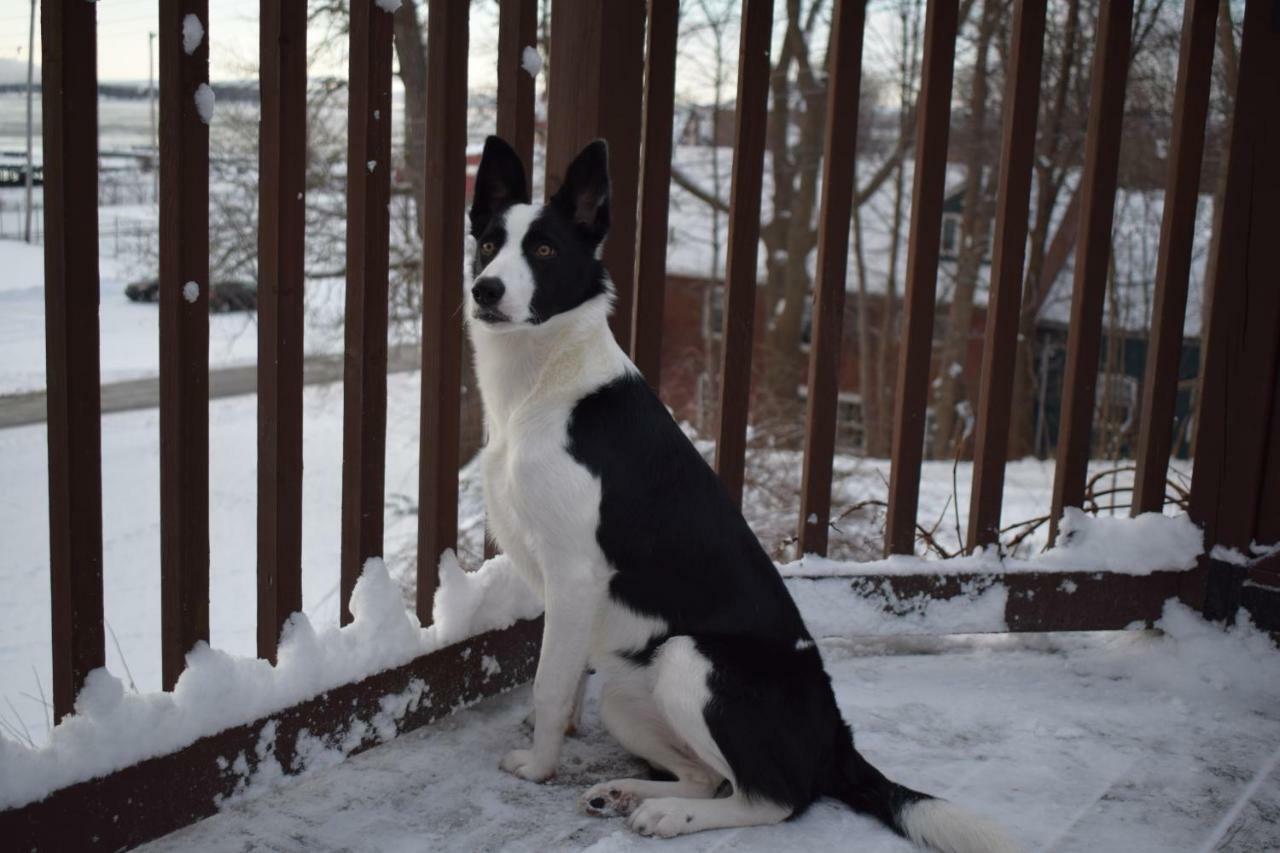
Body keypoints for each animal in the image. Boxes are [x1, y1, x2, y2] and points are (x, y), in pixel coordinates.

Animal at [465, 137, 1013, 850]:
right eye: (487, 244)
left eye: (547, 250)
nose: (485, 289)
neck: (544, 386)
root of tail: (836, 738)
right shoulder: (571, 599)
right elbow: (564, 680)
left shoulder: (575, 574)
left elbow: (549, 687)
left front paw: (538, 767)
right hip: (629, 693)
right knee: (707, 776)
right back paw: (629, 793)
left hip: (689, 659)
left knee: (772, 797)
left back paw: (672, 815)